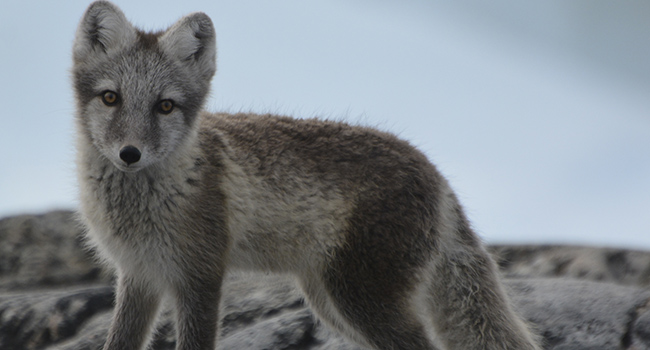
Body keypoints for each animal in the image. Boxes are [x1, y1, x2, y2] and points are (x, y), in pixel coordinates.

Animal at [72, 1, 536, 348]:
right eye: (111, 98)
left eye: (165, 106)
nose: (129, 154)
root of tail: (436, 172)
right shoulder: (139, 276)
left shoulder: (200, 277)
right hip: (331, 302)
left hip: (360, 300)